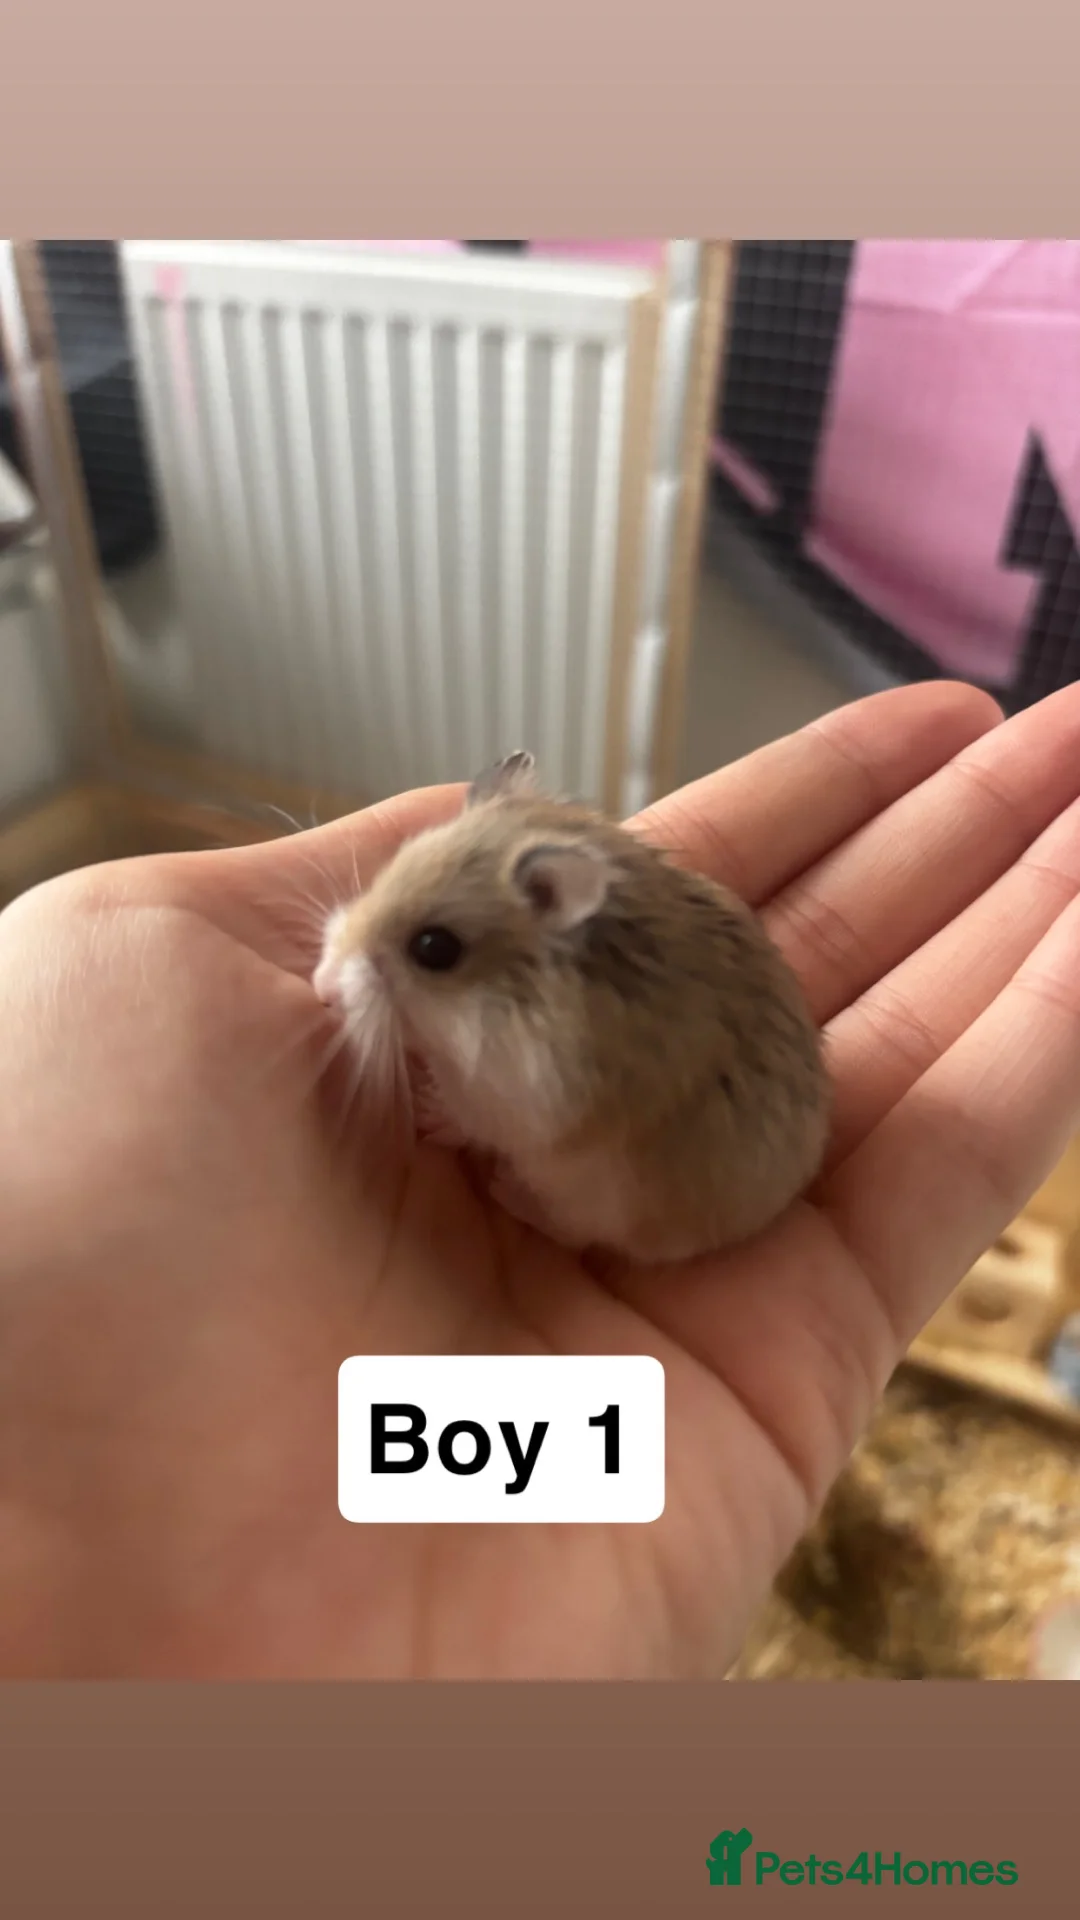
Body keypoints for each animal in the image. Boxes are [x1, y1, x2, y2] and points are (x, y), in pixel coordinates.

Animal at [313, 751, 830, 1265]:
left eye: (434, 948)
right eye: (386, 871)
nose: (321, 991)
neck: (506, 992)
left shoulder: (512, 1101)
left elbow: (465, 1120)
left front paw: (426, 1112)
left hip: (599, 1203)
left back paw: (508, 1191)